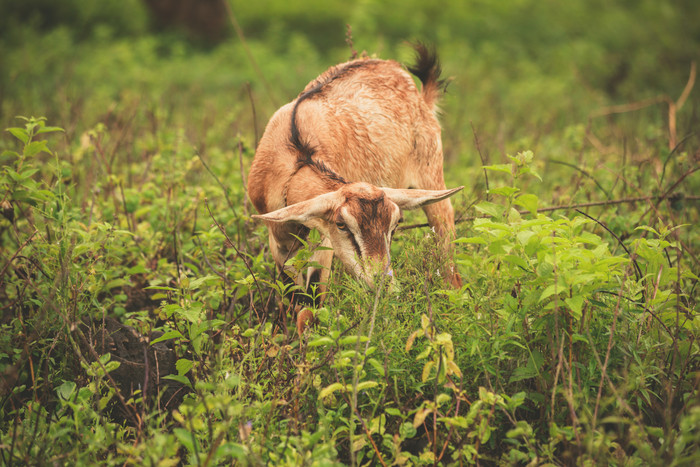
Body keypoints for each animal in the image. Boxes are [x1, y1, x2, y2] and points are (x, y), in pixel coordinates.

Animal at [249, 44, 462, 310]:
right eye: (342, 224)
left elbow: (311, 304)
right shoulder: (279, 242)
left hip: (432, 177)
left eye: (395, 224)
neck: (296, 157)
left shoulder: (323, 243)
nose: (382, 283)